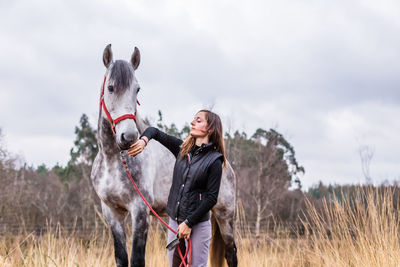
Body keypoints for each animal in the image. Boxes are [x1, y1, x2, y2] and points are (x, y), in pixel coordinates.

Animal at [90, 44, 238, 267]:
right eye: (111, 87)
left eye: (137, 89)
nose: (129, 137)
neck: (113, 161)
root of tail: (225, 164)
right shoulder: (111, 212)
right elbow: (121, 258)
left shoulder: (140, 211)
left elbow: (137, 259)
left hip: (225, 216)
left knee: (231, 254)